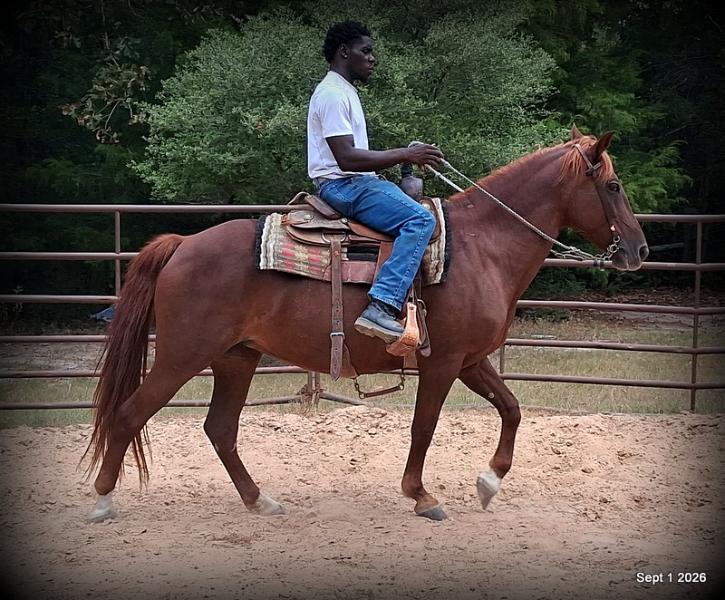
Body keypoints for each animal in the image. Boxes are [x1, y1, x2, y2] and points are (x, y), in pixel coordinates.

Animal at [84, 126, 648, 522]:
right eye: (614, 184)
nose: (639, 250)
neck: (481, 246)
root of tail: (181, 245)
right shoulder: (443, 362)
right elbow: (424, 425)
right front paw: (421, 495)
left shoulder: (470, 360)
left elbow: (511, 408)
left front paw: (489, 484)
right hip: (182, 355)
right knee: (130, 414)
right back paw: (103, 502)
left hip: (236, 358)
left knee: (220, 429)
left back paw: (260, 501)